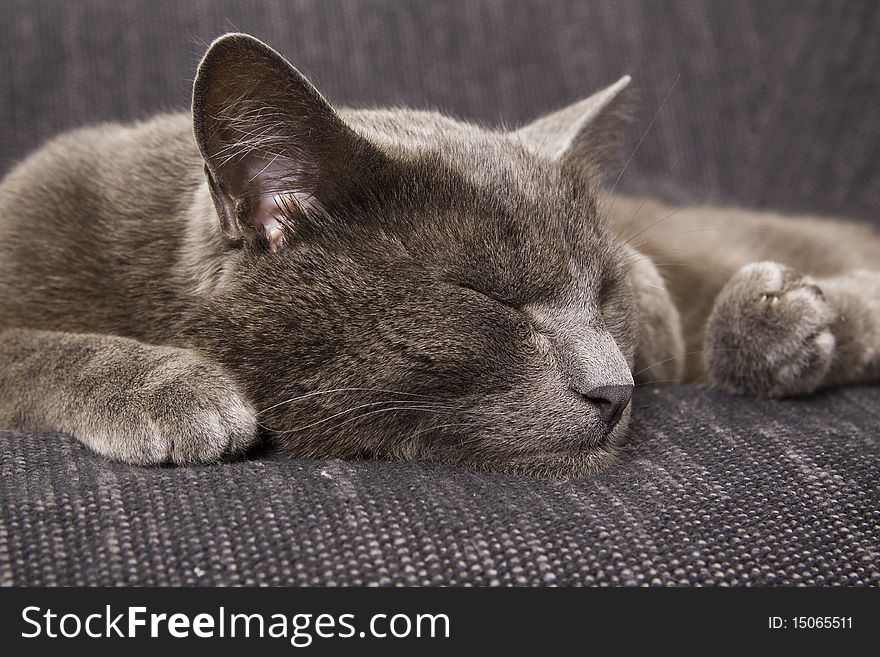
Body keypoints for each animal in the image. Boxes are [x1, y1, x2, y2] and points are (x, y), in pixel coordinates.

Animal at [0, 33, 876, 474]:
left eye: (604, 291)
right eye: (485, 297)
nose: (616, 388)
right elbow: (25, 346)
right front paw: (174, 385)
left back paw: (784, 320)